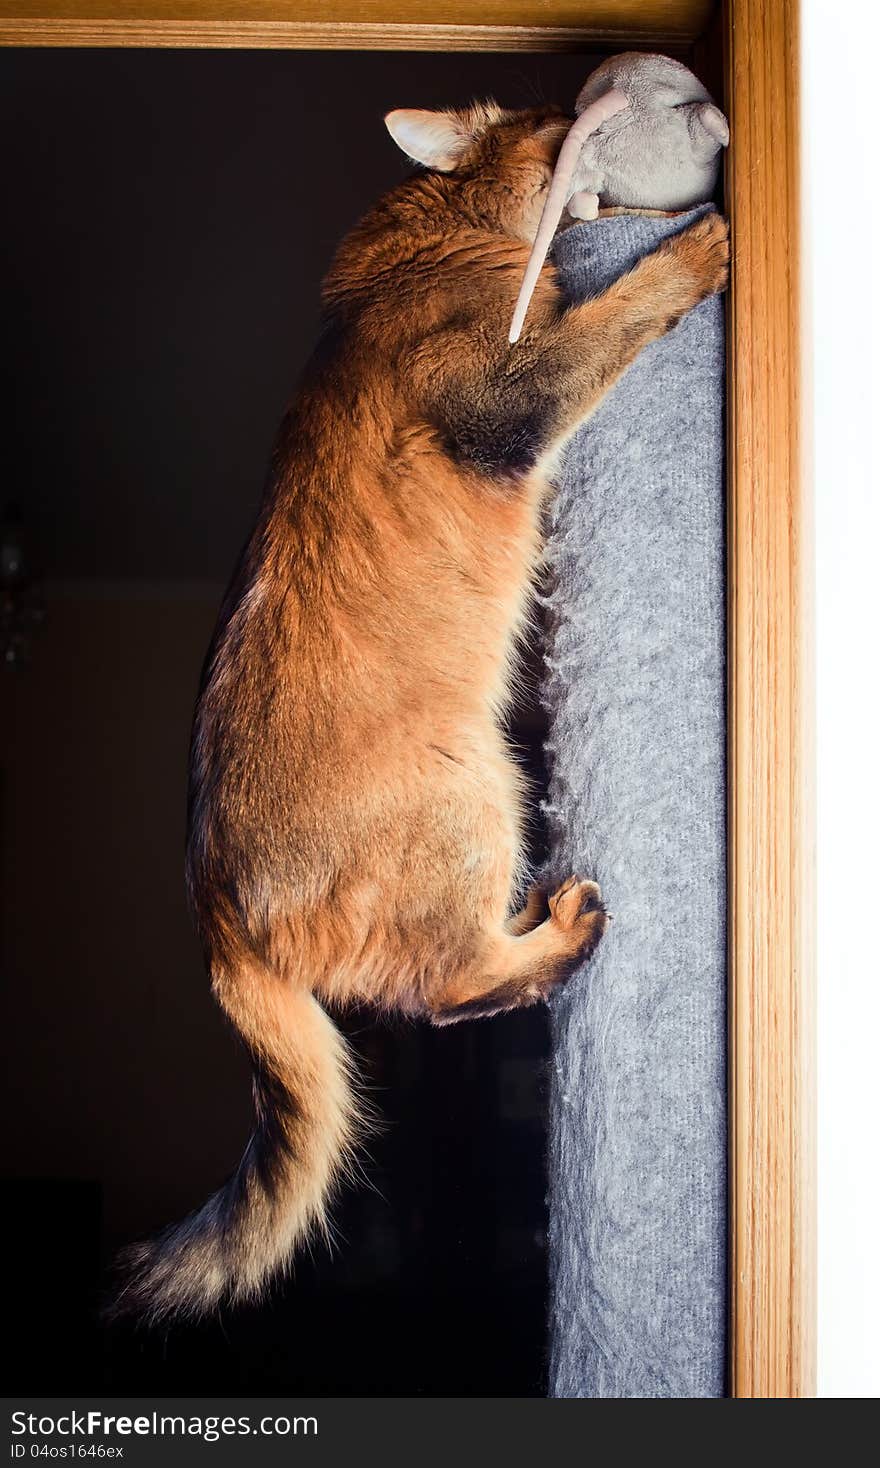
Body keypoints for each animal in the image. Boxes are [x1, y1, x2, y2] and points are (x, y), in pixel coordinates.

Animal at [116, 100, 728, 1321]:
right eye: (551, 115)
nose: (583, 111)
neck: (439, 233)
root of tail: (211, 910)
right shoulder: (508, 393)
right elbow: (611, 319)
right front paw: (690, 247)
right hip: (477, 787)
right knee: (446, 989)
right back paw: (565, 931)